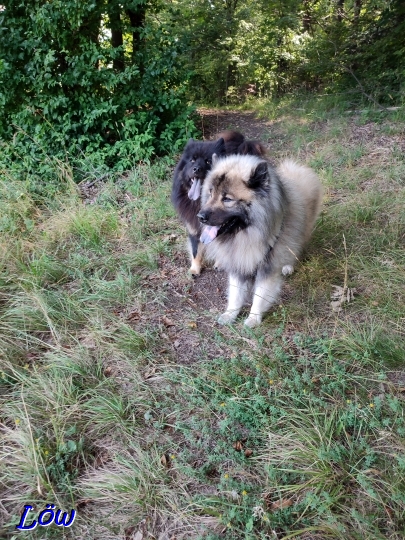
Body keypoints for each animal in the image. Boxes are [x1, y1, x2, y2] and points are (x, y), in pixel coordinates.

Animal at [170, 130, 266, 274]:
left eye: (208, 161)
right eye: (192, 160)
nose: (196, 169)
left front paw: (220, 263)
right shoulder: (194, 227)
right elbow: (195, 250)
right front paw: (195, 269)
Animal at [196, 154, 322, 326]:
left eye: (227, 199)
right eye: (210, 193)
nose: (200, 216)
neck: (245, 233)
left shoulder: (268, 266)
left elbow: (260, 295)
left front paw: (253, 318)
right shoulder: (238, 262)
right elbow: (236, 293)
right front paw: (230, 314)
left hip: (300, 233)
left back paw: (288, 266)